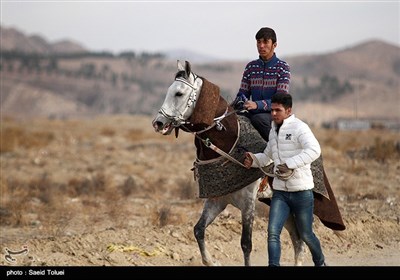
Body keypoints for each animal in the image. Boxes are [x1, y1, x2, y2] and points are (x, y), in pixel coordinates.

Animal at [153, 60, 306, 266]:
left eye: (179, 93)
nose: (158, 123)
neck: (228, 145)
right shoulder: (217, 200)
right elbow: (198, 230)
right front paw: (212, 261)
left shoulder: (248, 203)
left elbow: (246, 244)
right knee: (296, 238)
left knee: (301, 238)